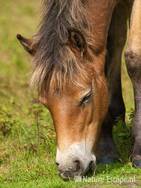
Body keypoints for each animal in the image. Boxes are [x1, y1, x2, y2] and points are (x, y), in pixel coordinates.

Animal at [17, 0, 141, 180]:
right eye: (46, 104)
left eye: (86, 97)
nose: (69, 168)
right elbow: (109, 50)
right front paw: (107, 150)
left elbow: (134, 58)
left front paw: (138, 153)